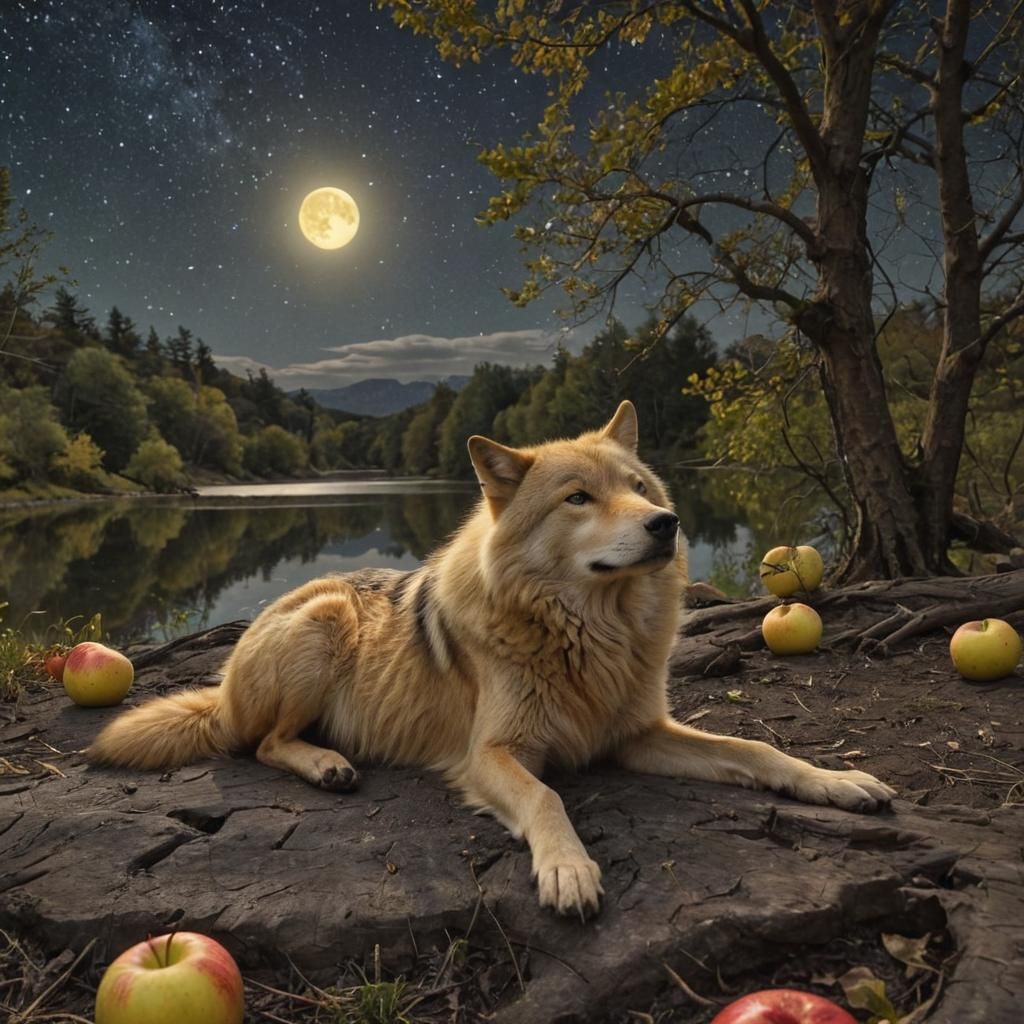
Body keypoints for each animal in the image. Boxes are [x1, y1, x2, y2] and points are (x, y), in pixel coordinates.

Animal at [90, 401, 894, 916]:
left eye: (639, 489)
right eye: (579, 498)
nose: (666, 524)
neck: (588, 632)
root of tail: (222, 684)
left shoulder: (637, 736)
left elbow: (757, 749)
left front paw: (837, 782)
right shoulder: (491, 755)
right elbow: (546, 798)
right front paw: (567, 867)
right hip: (323, 622)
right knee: (261, 743)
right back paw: (325, 763)